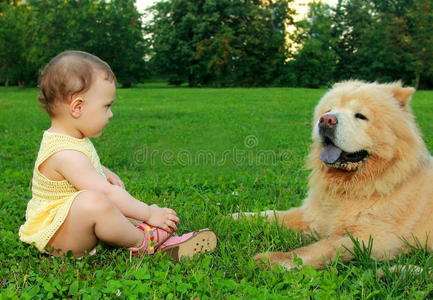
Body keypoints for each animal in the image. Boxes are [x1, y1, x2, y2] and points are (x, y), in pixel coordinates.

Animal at [233, 80, 432, 270]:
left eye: (361, 116)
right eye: (329, 110)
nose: (326, 120)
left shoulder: (371, 236)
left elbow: (322, 246)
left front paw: (275, 261)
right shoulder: (312, 214)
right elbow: (271, 215)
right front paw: (234, 217)